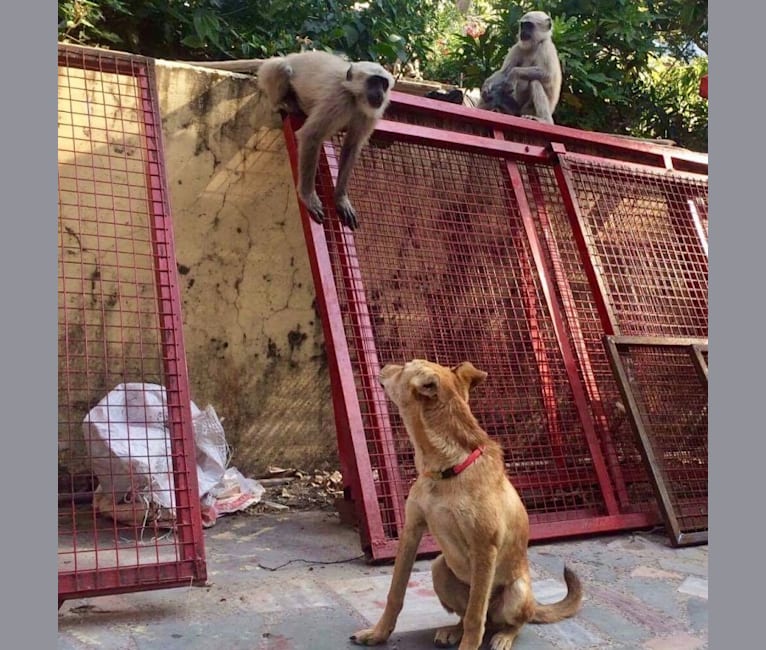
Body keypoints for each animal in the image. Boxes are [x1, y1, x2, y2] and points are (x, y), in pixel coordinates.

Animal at [352, 360, 584, 648]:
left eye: (404, 367)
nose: (383, 366)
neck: (445, 469)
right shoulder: (411, 531)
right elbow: (396, 592)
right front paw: (378, 633)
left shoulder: (484, 547)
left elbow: (476, 616)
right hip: (439, 567)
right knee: (466, 615)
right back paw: (453, 630)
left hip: (517, 592)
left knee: (511, 621)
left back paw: (503, 637)